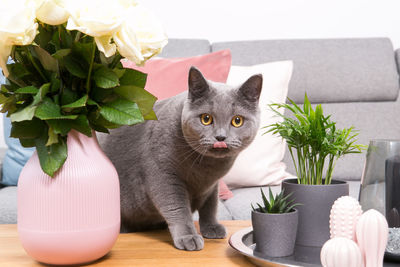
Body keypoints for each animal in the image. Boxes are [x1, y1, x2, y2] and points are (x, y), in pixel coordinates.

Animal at [101, 67, 260, 251]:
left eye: (237, 121)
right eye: (206, 119)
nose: (220, 137)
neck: (207, 169)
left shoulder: (212, 186)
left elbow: (210, 205)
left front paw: (212, 227)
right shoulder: (163, 175)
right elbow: (178, 208)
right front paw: (188, 237)